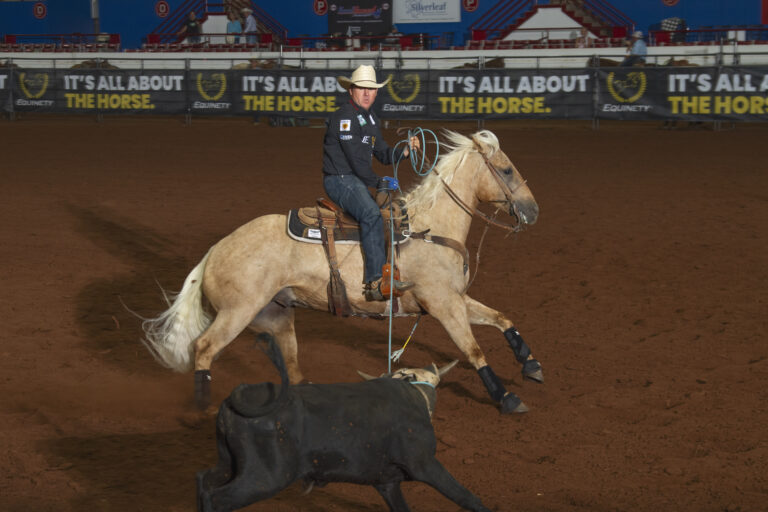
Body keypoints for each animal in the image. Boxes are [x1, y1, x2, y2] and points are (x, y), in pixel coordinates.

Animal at [142, 130, 540, 414]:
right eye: (506, 170)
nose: (533, 210)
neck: (430, 227)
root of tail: (214, 251)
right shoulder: (444, 304)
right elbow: (473, 350)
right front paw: (506, 398)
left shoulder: (456, 299)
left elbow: (502, 319)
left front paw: (531, 364)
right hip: (237, 313)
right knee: (204, 348)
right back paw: (202, 407)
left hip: (274, 315)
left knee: (290, 365)